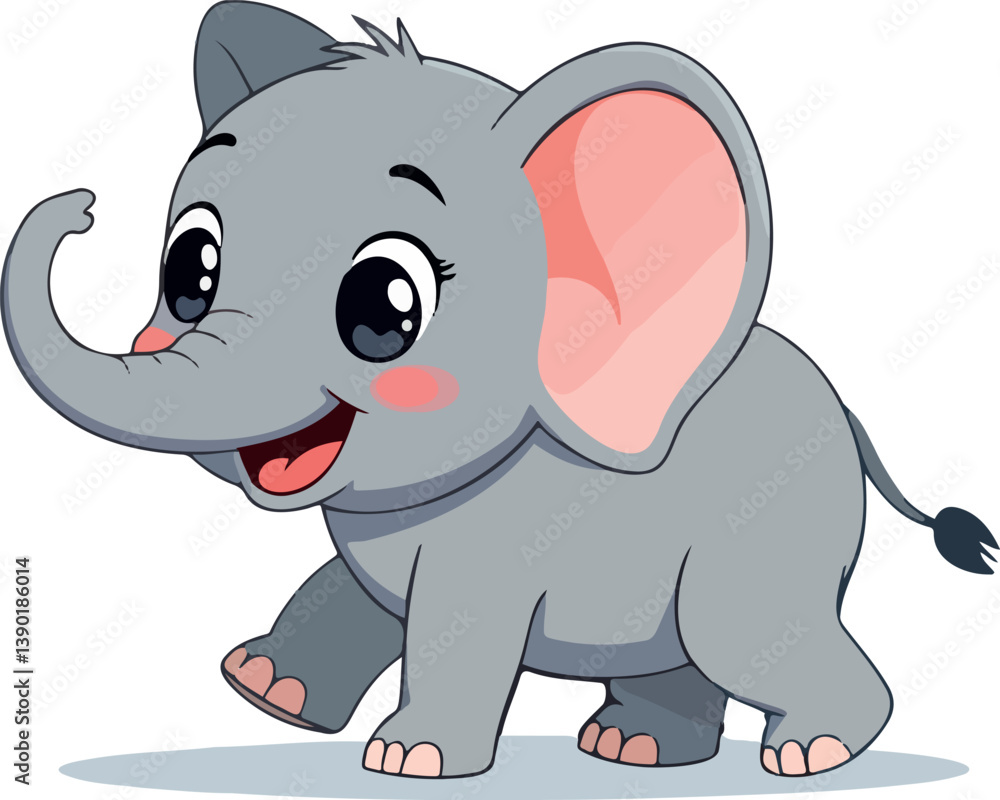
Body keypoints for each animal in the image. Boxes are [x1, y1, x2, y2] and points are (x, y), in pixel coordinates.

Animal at [3, 0, 996, 781]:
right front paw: (264, 691)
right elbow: (350, 590)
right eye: (190, 270)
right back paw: (633, 752)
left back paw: (808, 754)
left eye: (385, 306)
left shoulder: (499, 539)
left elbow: (455, 624)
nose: (82, 205)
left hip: (768, 532)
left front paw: (410, 760)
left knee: (740, 634)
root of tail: (852, 421)